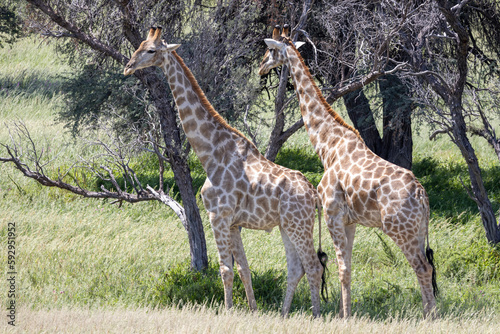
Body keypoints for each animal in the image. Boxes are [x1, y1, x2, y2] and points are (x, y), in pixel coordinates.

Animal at [125, 27, 328, 318]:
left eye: (151, 50)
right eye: (139, 45)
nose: (128, 67)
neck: (210, 153)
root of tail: (314, 196)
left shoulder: (218, 216)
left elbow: (225, 270)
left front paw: (228, 311)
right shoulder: (233, 223)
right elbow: (244, 269)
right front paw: (252, 311)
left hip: (299, 225)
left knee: (313, 266)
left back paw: (315, 316)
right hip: (287, 225)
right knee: (297, 267)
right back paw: (283, 314)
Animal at [258, 25, 438, 318]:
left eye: (270, 50)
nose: (261, 68)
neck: (327, 146)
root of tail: (422, 195)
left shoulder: (332, 213)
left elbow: (341, 269)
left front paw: (344, 316)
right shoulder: (350, 221)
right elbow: (349, 268)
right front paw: (346, 312)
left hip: (400, 229)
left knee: (422, 267)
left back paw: (430, 318)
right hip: (419, 229)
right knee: (428, 266)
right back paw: (428, 313)